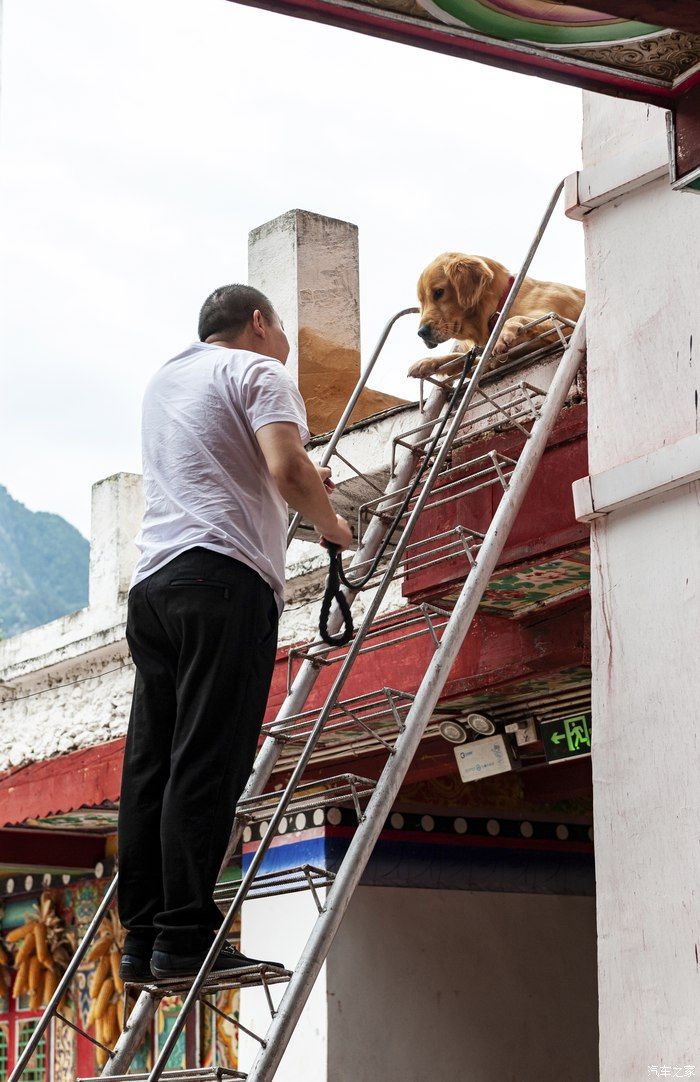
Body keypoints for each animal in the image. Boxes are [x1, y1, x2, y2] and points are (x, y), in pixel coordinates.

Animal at [411, 252, 584, 378]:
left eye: (439, 292)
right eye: (421, 301)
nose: (421, 332)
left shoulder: (566, 325)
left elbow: (516, 319)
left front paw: (502, 335)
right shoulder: (489, 364)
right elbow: (459, 358)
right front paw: (428, 362)